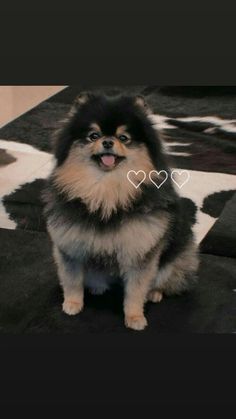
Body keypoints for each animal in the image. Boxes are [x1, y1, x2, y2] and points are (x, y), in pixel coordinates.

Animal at [42, 92, 199, 332]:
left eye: (124, 138)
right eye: (93, 135)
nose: (107, 141)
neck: (107, 190)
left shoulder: (140, 251)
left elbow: (135, 290)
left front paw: (134, 317)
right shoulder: (71, 246)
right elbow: (72, 280)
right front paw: (72, 304)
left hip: (176, 259)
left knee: (166, 279)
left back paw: (154, 293)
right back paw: (98, 286)